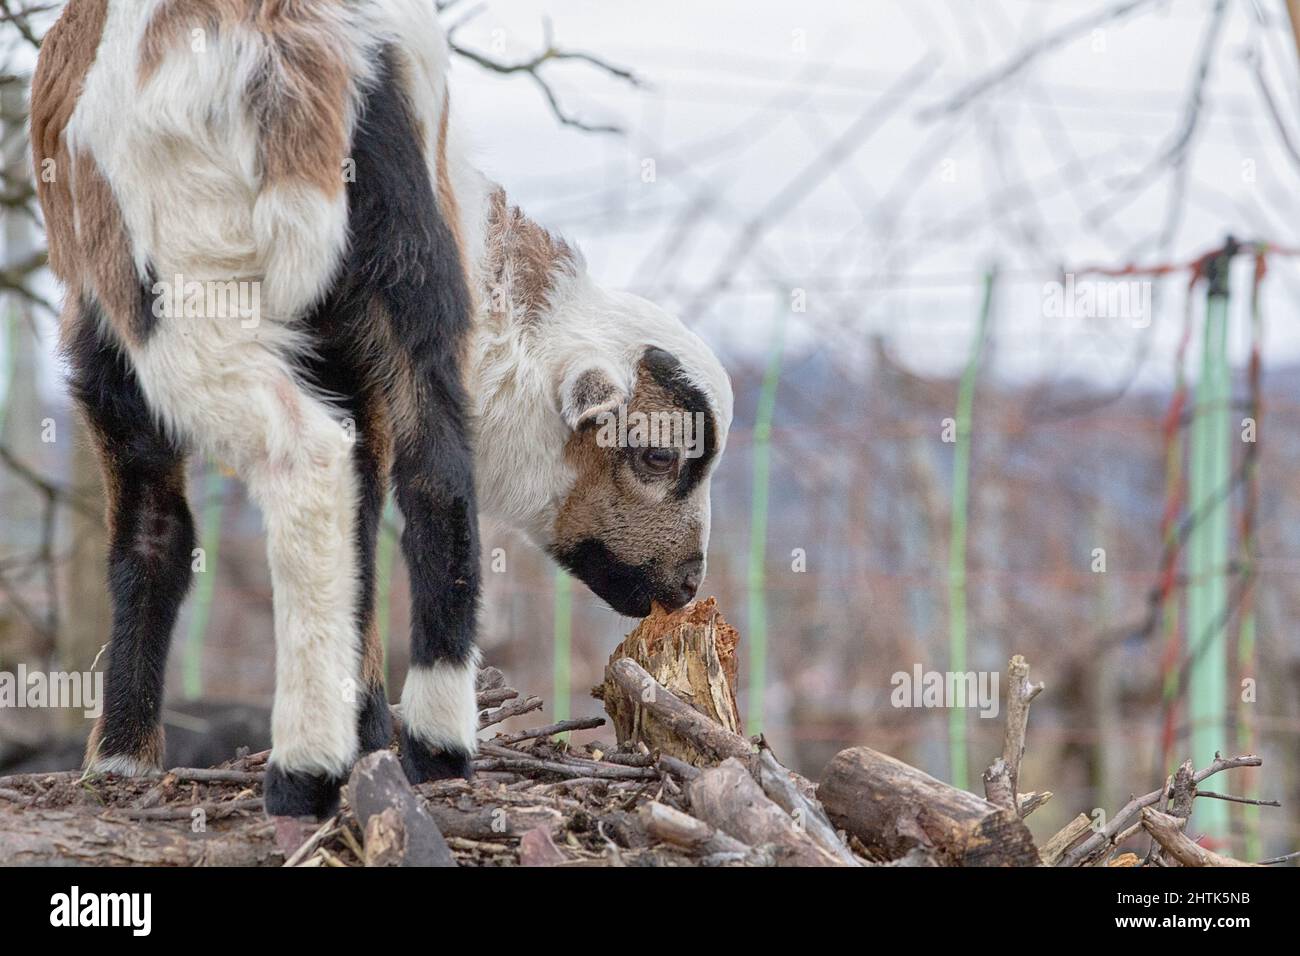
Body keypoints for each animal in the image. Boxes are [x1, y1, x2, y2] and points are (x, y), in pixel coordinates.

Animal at [27, 0, 733, 822]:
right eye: (657, 455)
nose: (685, 586)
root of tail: (325, 38)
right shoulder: (357, 369)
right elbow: (360, 535)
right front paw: (367, 730)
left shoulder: (106, 354)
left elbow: (153, 539)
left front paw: (120, 758)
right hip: (406, 261)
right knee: (436, 483)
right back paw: (435, 745)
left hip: (186, 275)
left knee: (304, 461)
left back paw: (302, 772)